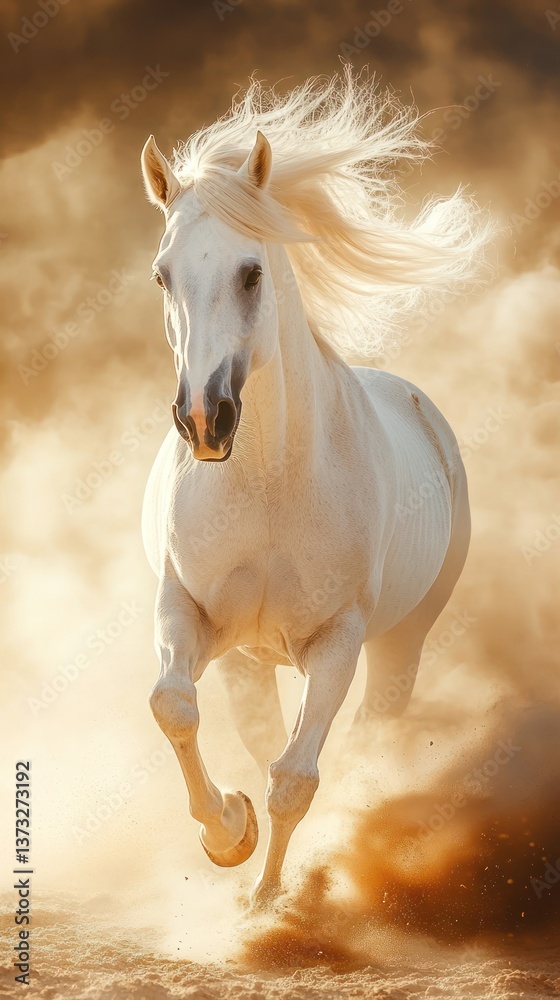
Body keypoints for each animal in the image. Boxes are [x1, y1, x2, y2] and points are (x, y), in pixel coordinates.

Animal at [139, 72, 491, 908]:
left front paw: (267, 900)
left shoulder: (337, 641)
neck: (270, 485)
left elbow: (296, 778)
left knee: (367, 734)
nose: (203, 420)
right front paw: (227, 833)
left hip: (399, 641)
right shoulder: (187, 608)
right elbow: (174, 706)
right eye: (163, 275)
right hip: (248, 656)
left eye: (251, 272)